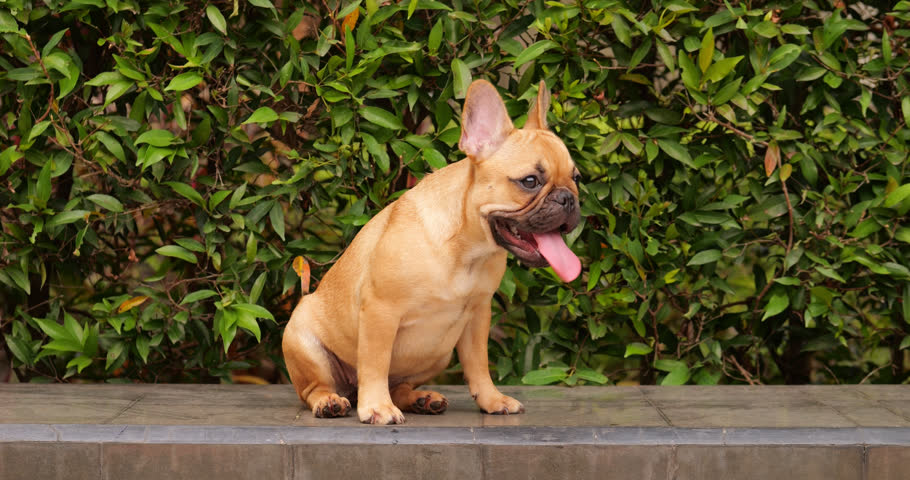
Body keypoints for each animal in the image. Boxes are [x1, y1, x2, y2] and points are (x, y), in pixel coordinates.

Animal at [284, 79, 584, 424]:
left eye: (576, 178)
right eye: (530, 181)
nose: (568, 198)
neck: (467, 250)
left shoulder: (478, 314)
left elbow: (479, 365)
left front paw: (492, 400)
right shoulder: (380, 312)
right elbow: (374, 362)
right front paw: (377, 407)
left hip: (438, 352)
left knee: (399, 385)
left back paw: (421, 399)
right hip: (303, 339)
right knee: (315, 388)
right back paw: (330, 401)